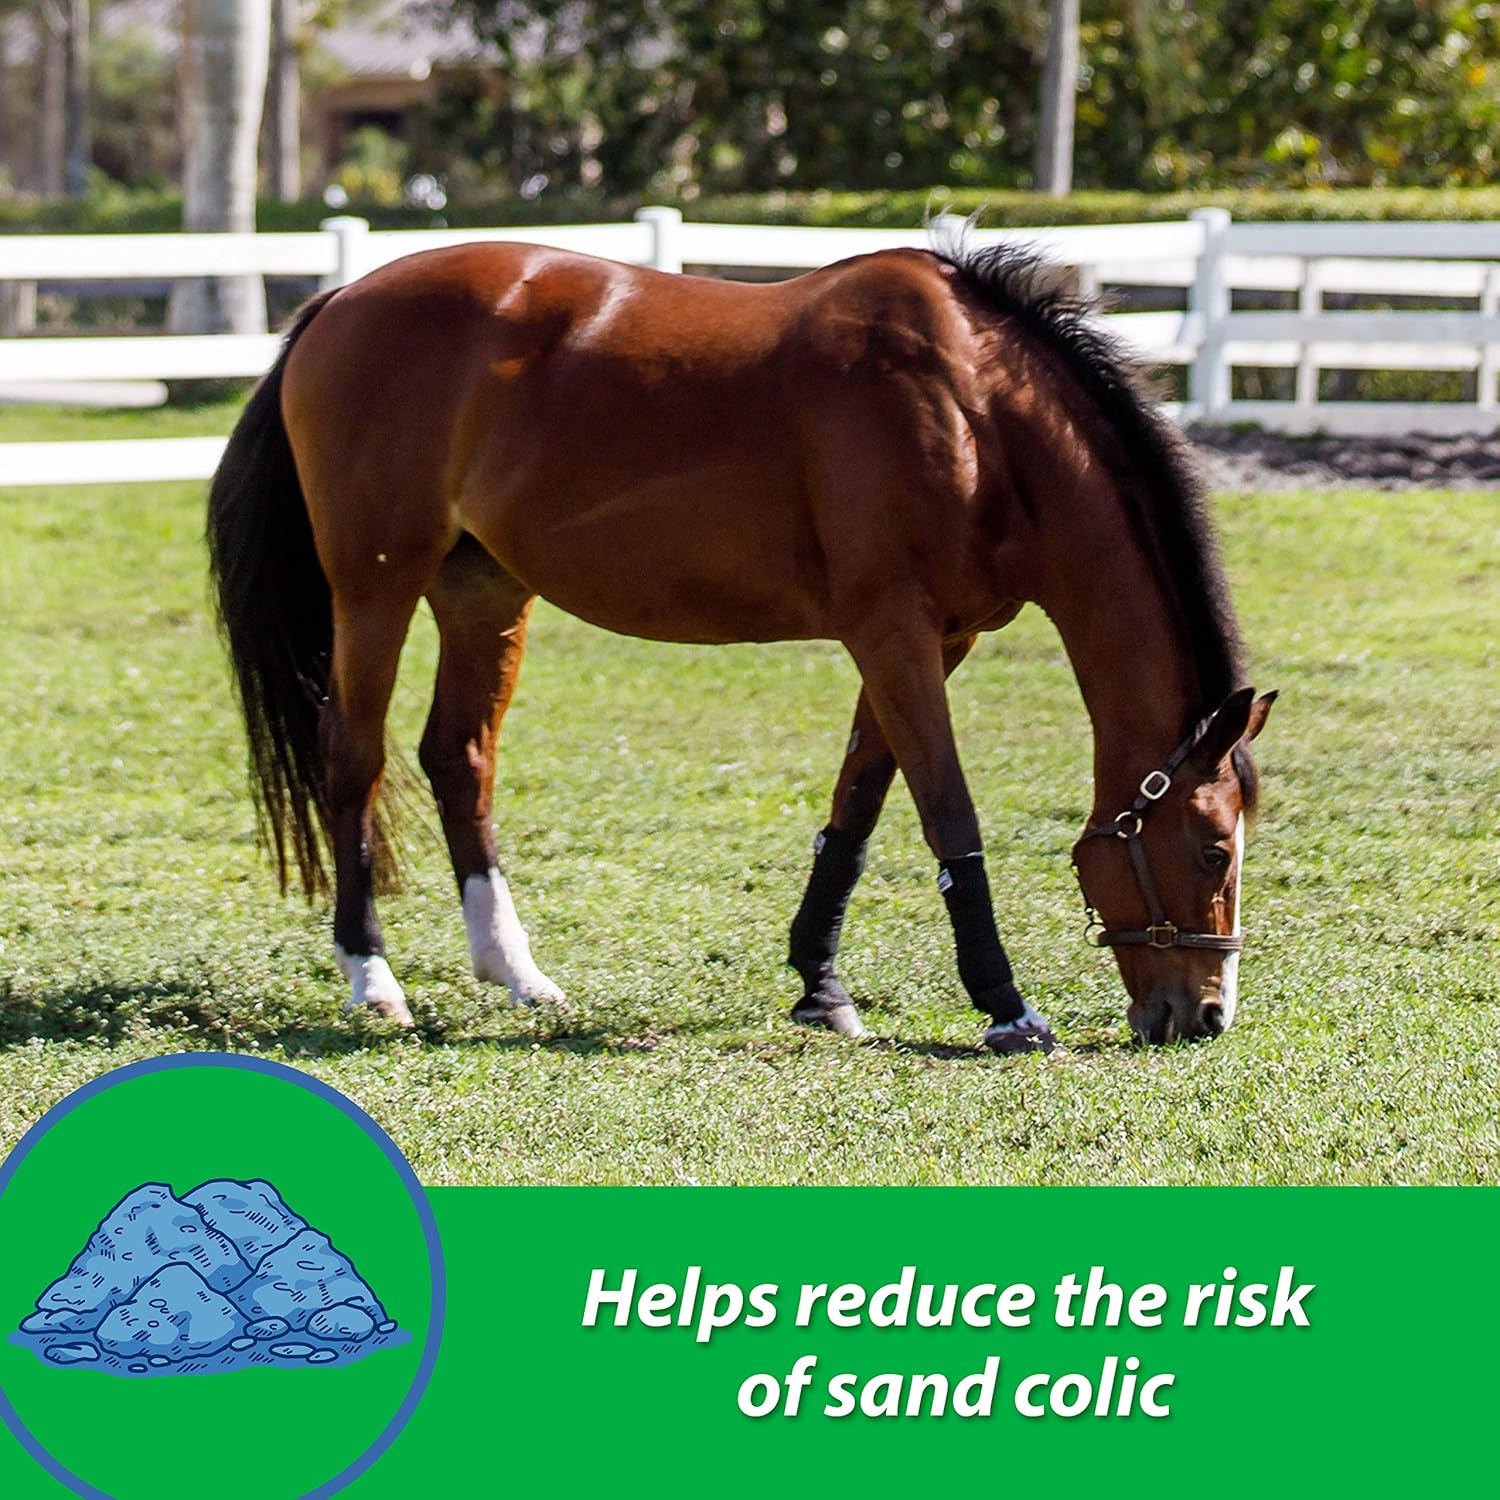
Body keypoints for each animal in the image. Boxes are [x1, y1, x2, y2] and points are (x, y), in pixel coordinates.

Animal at [207, 231, 1275, 1052]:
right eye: (1213, 850)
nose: (1204, 1016)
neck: (976, 416)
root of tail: (341, 298)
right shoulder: (893, 633)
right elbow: (947, 813)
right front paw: (1007, 1008)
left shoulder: (934, 639)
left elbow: (857, 808)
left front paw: (821, 986)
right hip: (373, 589)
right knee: (355, 760)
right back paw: (372, 976)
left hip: (483, 589)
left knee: (458, 758)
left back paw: (514, 969)